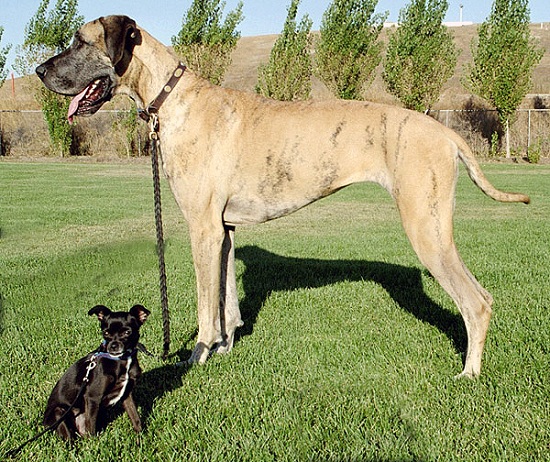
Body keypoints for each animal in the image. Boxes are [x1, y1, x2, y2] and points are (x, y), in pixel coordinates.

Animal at [35, 16, 532, 378]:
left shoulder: (201, 228)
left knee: (476, 301)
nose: (40, 71)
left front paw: (197, 356)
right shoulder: (224, 230)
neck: (172, 99)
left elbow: (205, 305)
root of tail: (446, 132)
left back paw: (470, 372)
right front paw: (225, 348)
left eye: (79, 41)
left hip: (427, 228)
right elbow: (227, 300)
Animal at [43, 304, 151, 440]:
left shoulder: (127, 394)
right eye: (106, 333)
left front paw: (140, 437)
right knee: (70, 438)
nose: (113, 346)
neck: (121, 360)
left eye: (127, 332)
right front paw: (94, 444)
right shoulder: (93, 397)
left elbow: (135, 417)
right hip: (59, 412)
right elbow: (91, 427)